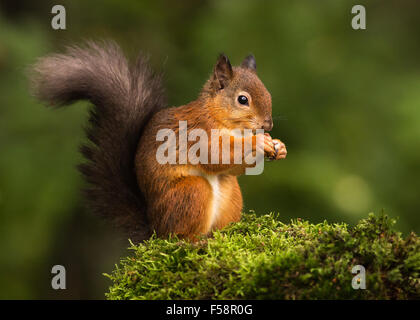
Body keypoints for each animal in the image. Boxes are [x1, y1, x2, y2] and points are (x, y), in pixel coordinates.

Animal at [29, 42, 286, 242]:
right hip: (191, 193)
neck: (224, 120)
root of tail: (155, 229)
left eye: (269, 94)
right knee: (180, 235)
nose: (268, 125)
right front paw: (258, 143)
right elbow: (216, 156)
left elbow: (233, 168)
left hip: (231, 192)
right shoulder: (197, 134)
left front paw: (278, 146)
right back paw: (194, 241)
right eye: (242, 99)